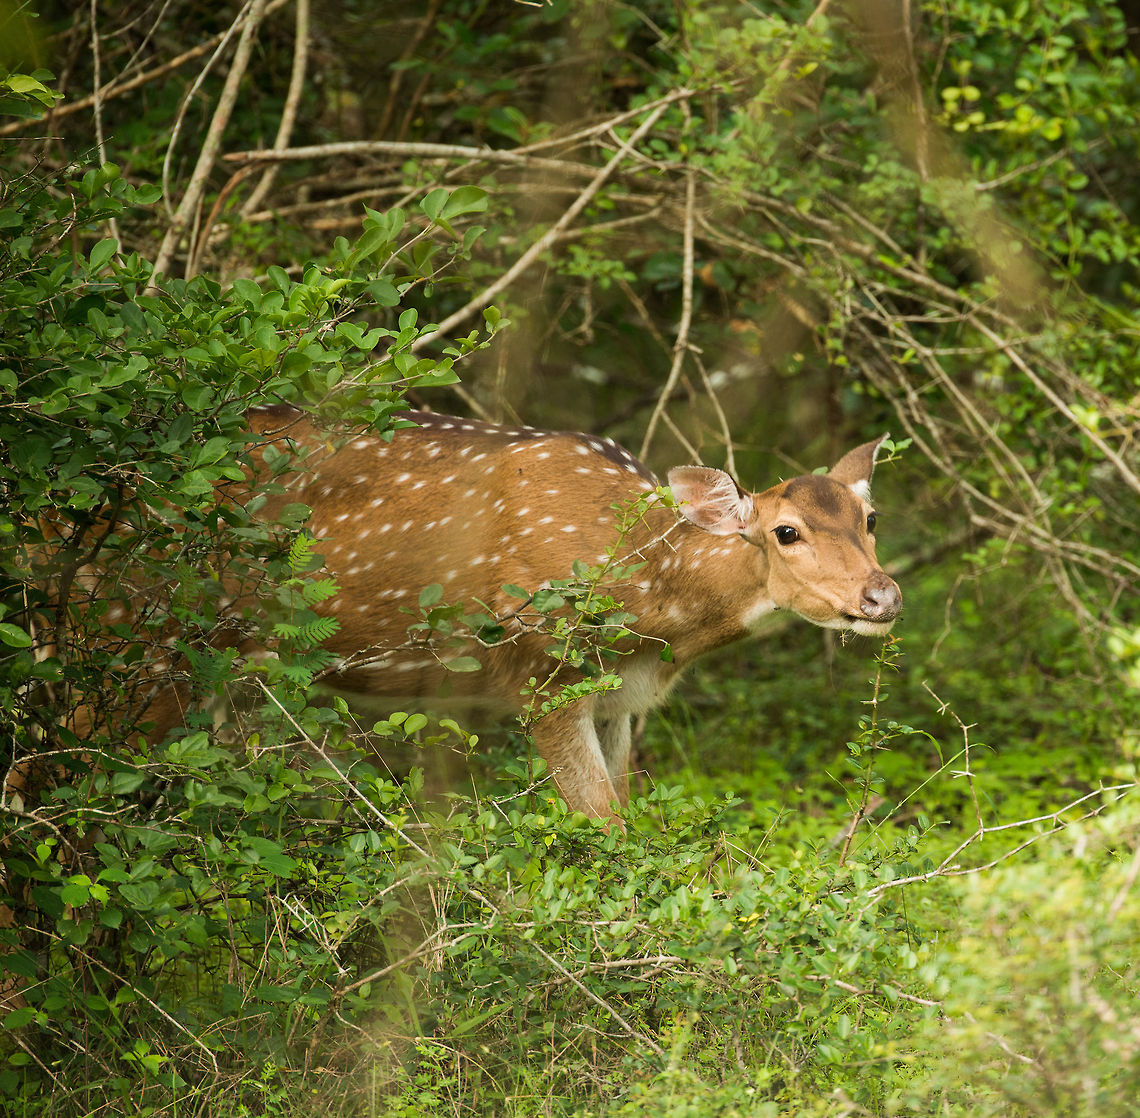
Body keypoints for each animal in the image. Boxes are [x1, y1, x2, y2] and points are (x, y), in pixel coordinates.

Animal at [235, 407, 902, 822]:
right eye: (786, 532)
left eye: (870, 519)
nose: (883, 597)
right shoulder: (542, 674)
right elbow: (605, 822)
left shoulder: (618, 701)